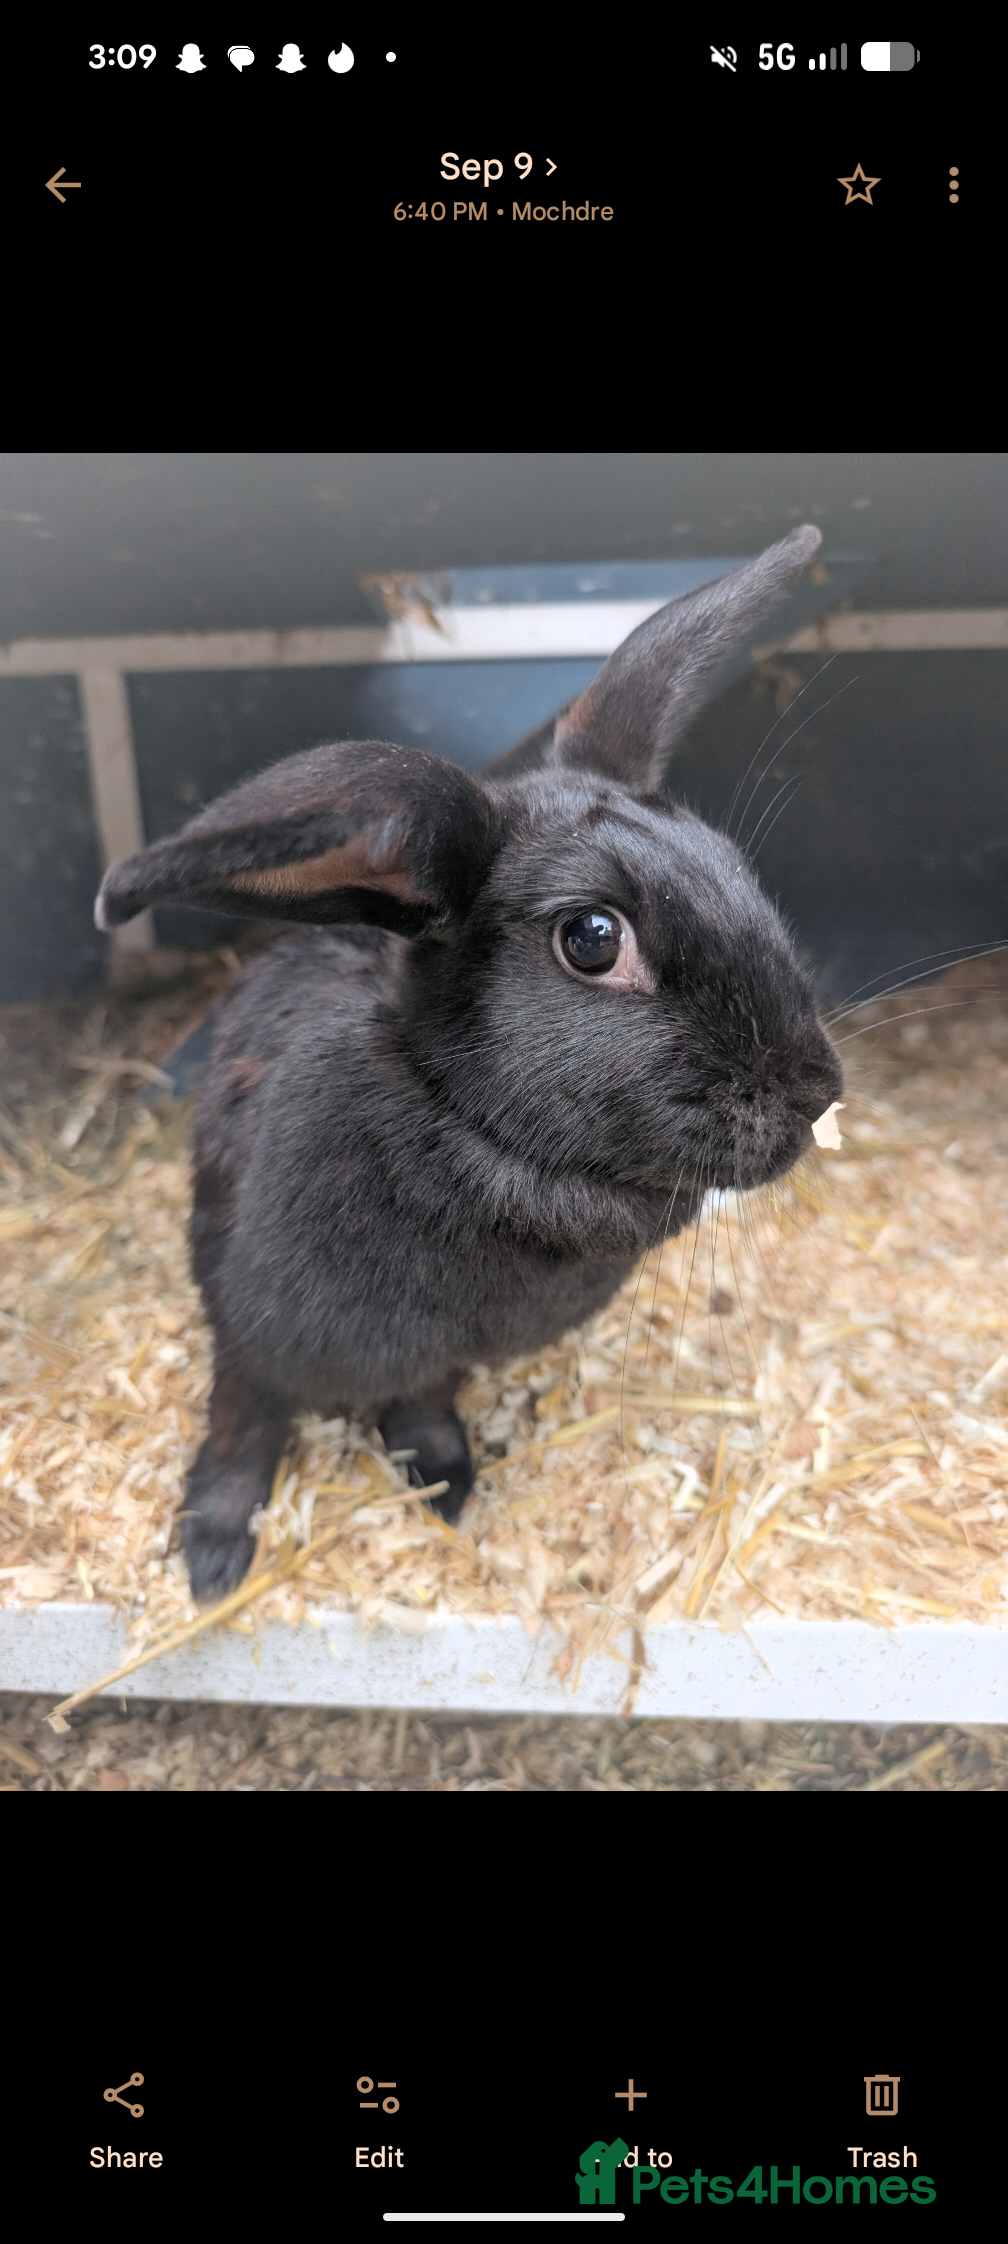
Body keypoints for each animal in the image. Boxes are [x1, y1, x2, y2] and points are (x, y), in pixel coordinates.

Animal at [94, 524, 843, 1599]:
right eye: (591, 940)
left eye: (738, 872)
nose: (818, 1091)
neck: (470, 1131)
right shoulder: (253, 1335)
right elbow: (242, 1427)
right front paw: (212, 1554)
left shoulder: (431, 1360)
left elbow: (420, 1400)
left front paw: (443, 1480)